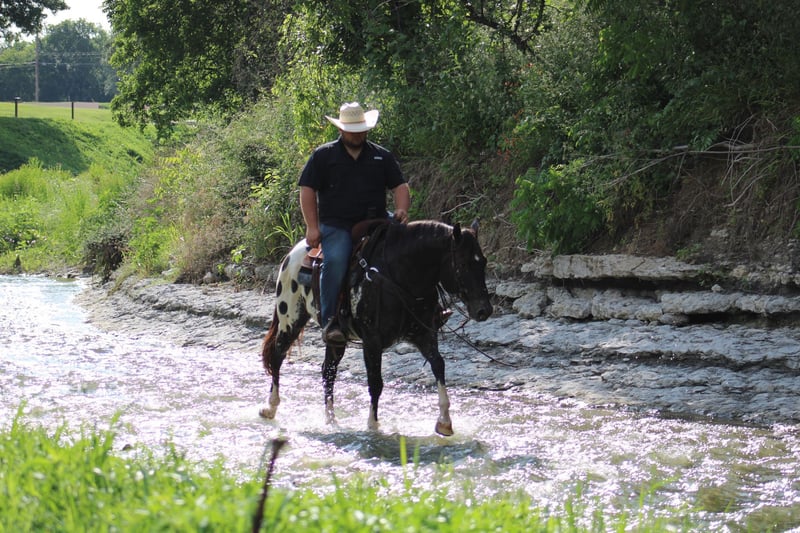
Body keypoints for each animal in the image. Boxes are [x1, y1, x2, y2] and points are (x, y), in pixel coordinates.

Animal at [260, 218, 490, 434]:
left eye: (483, 263)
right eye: (463, 264)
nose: (484, 310)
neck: (399, 277)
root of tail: (293, 253)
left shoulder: (423, 334)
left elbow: (439, 366)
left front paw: (444, 422)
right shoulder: (372, 340)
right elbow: (375, 381)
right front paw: (373, 425)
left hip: (335, 339)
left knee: (328, 371)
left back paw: (331, 420)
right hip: (290, 319)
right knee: (278, 355)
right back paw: (270, 408)